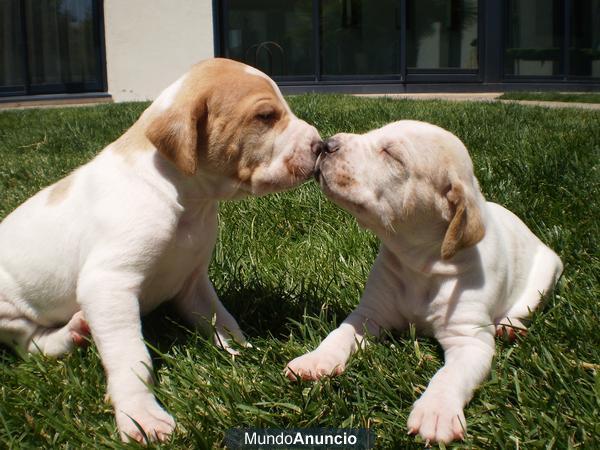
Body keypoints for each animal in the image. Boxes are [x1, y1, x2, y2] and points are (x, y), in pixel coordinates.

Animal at [0, 58, 324, 442]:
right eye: (265, 116)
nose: (321, 145)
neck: (186, 198)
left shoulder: (193, 283)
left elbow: (222, 319)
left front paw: (242, 352)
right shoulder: (108, 285)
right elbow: (131, 356)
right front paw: (140, 415)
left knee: (35, 344)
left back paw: (75, 331)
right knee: (28, 343)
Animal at [286, 121, 564, 444]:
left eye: (393, 155)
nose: (325, 144)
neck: (420, 265)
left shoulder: (470, 340)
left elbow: (450, 375)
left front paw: (436, 411)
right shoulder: (370, 314)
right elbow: (339, 334)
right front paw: (315, 359)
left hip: (546, 273)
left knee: (524, 306)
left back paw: (510, 328)